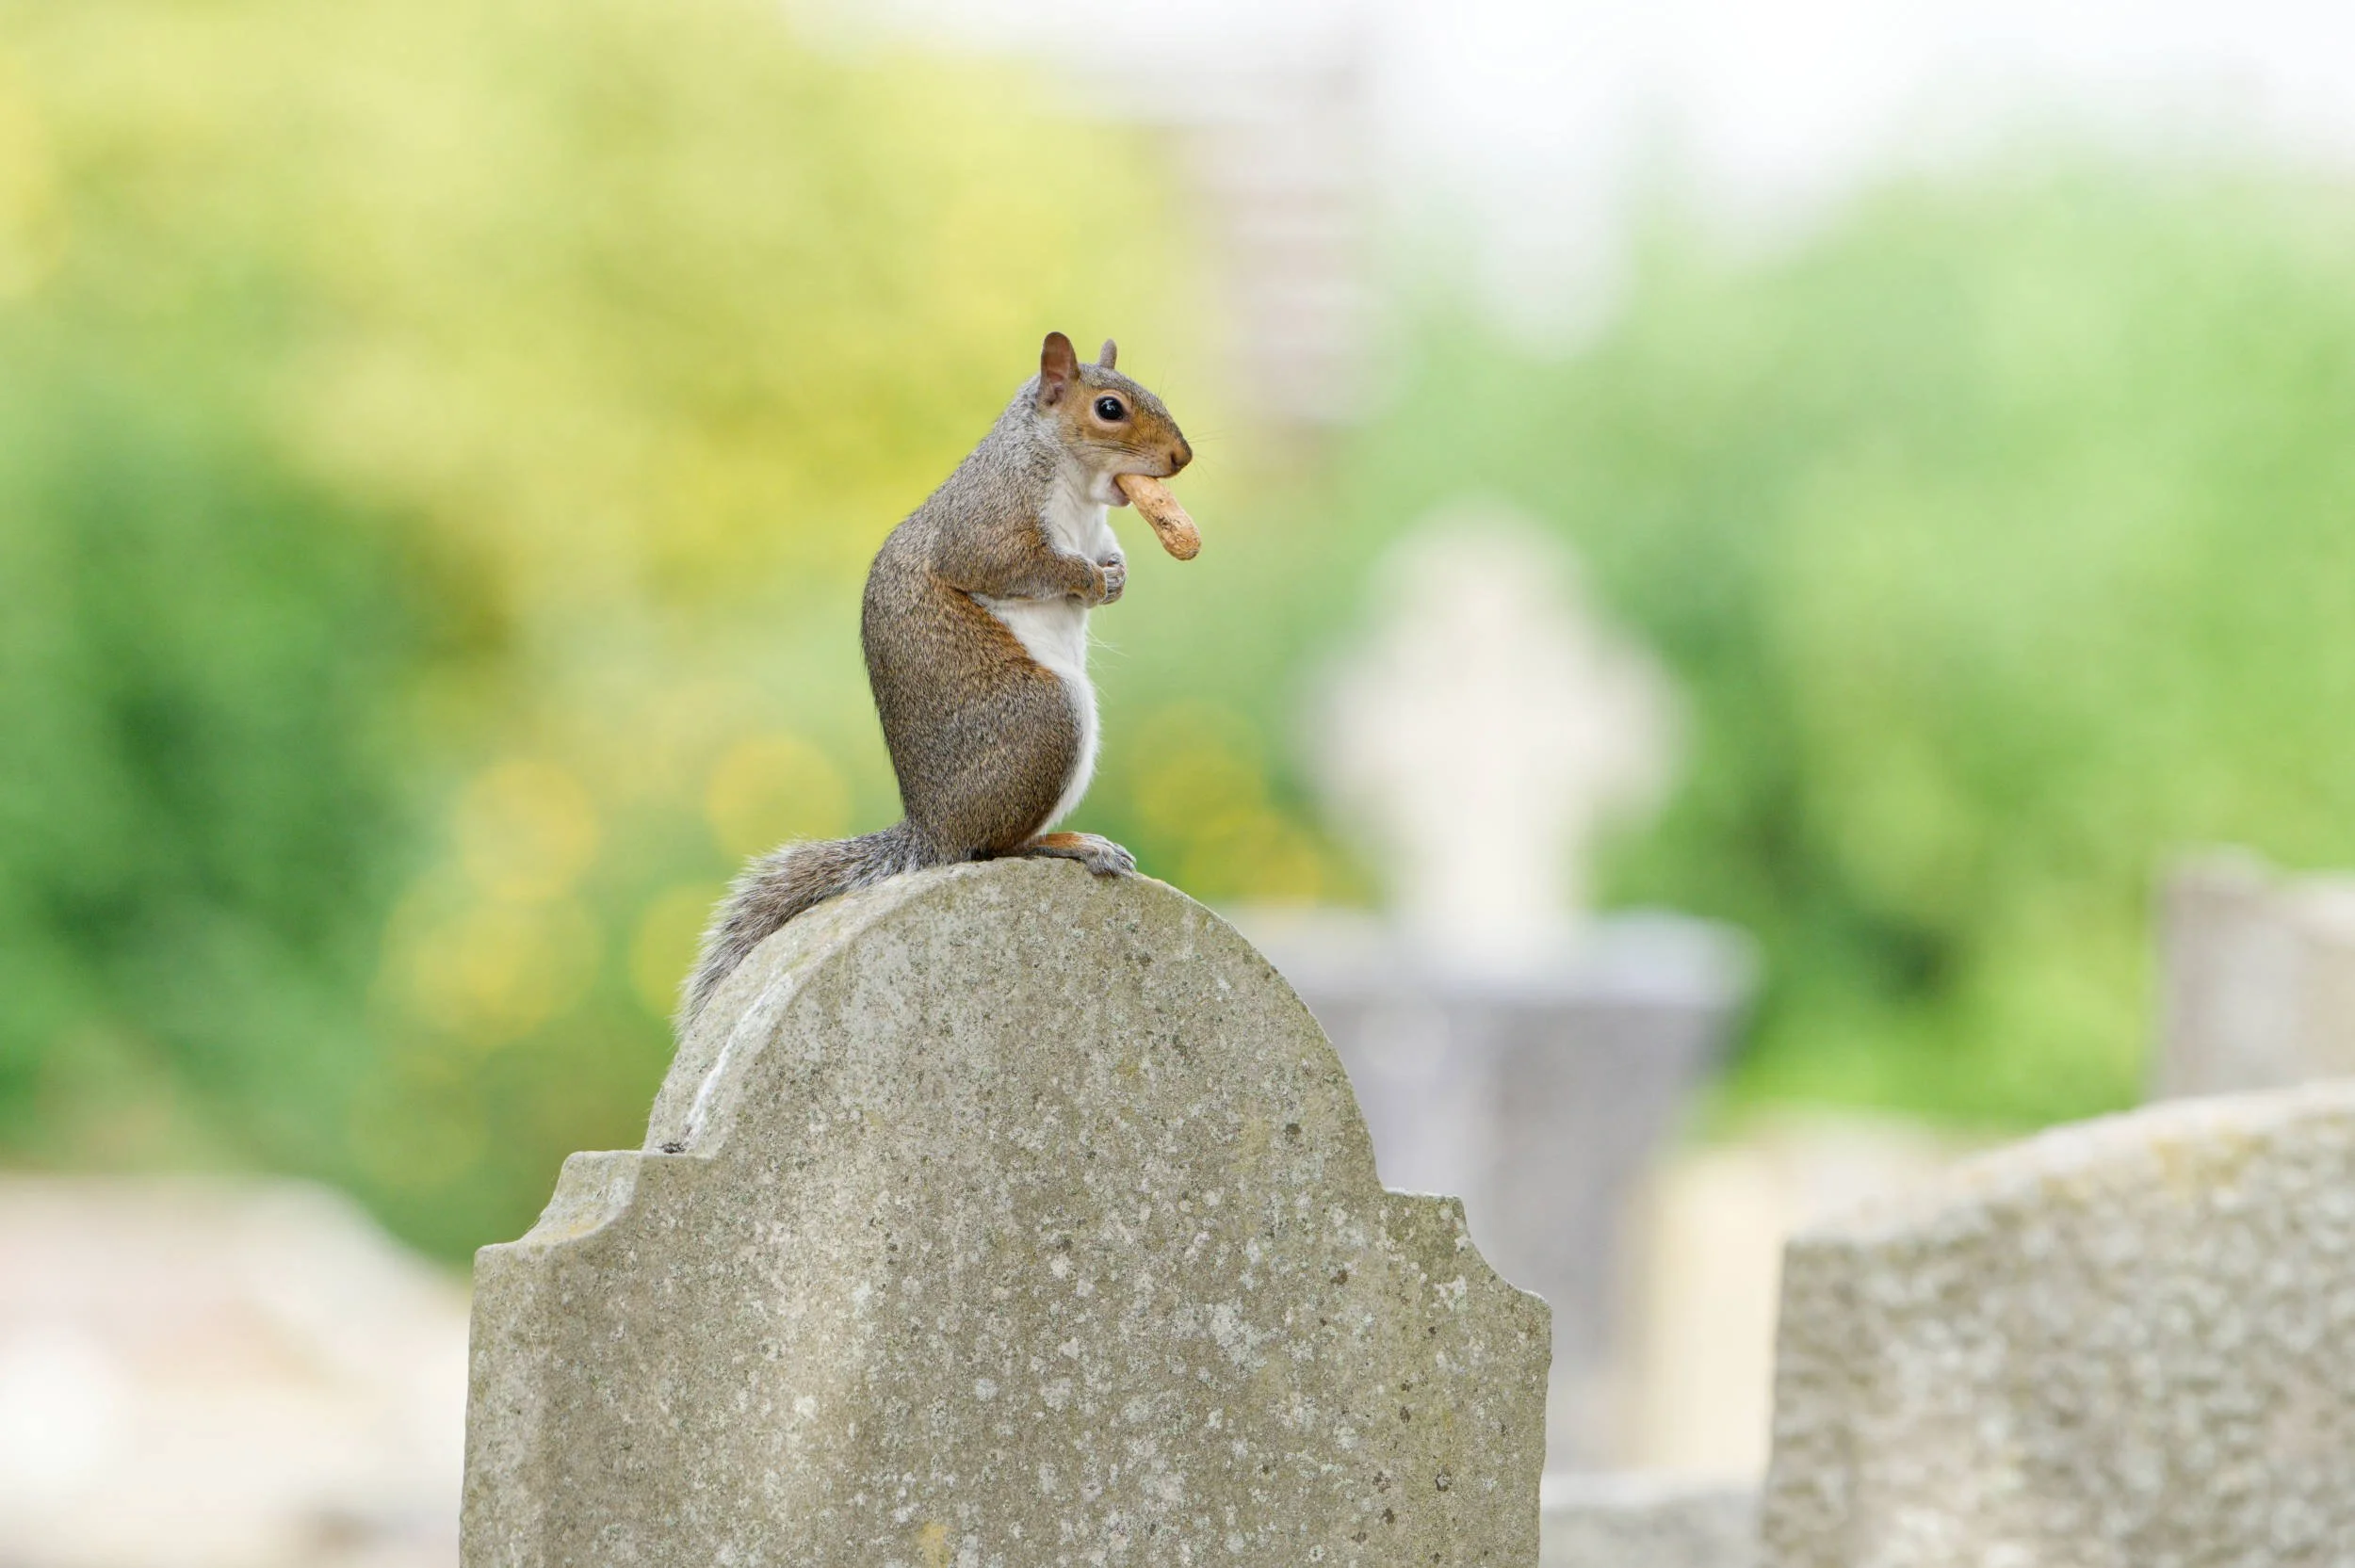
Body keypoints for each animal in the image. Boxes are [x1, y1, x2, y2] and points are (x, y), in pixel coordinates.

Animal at [680, 332, 1193, 1028]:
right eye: (1109, 408)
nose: (1182, 457)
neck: (1074, 482)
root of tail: (934, 831)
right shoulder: (989, 525)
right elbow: (1017, 565)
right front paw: (1089, 578)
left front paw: (1115, 574)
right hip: (1045, 719)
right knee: (995, 848)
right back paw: (1071, 842)